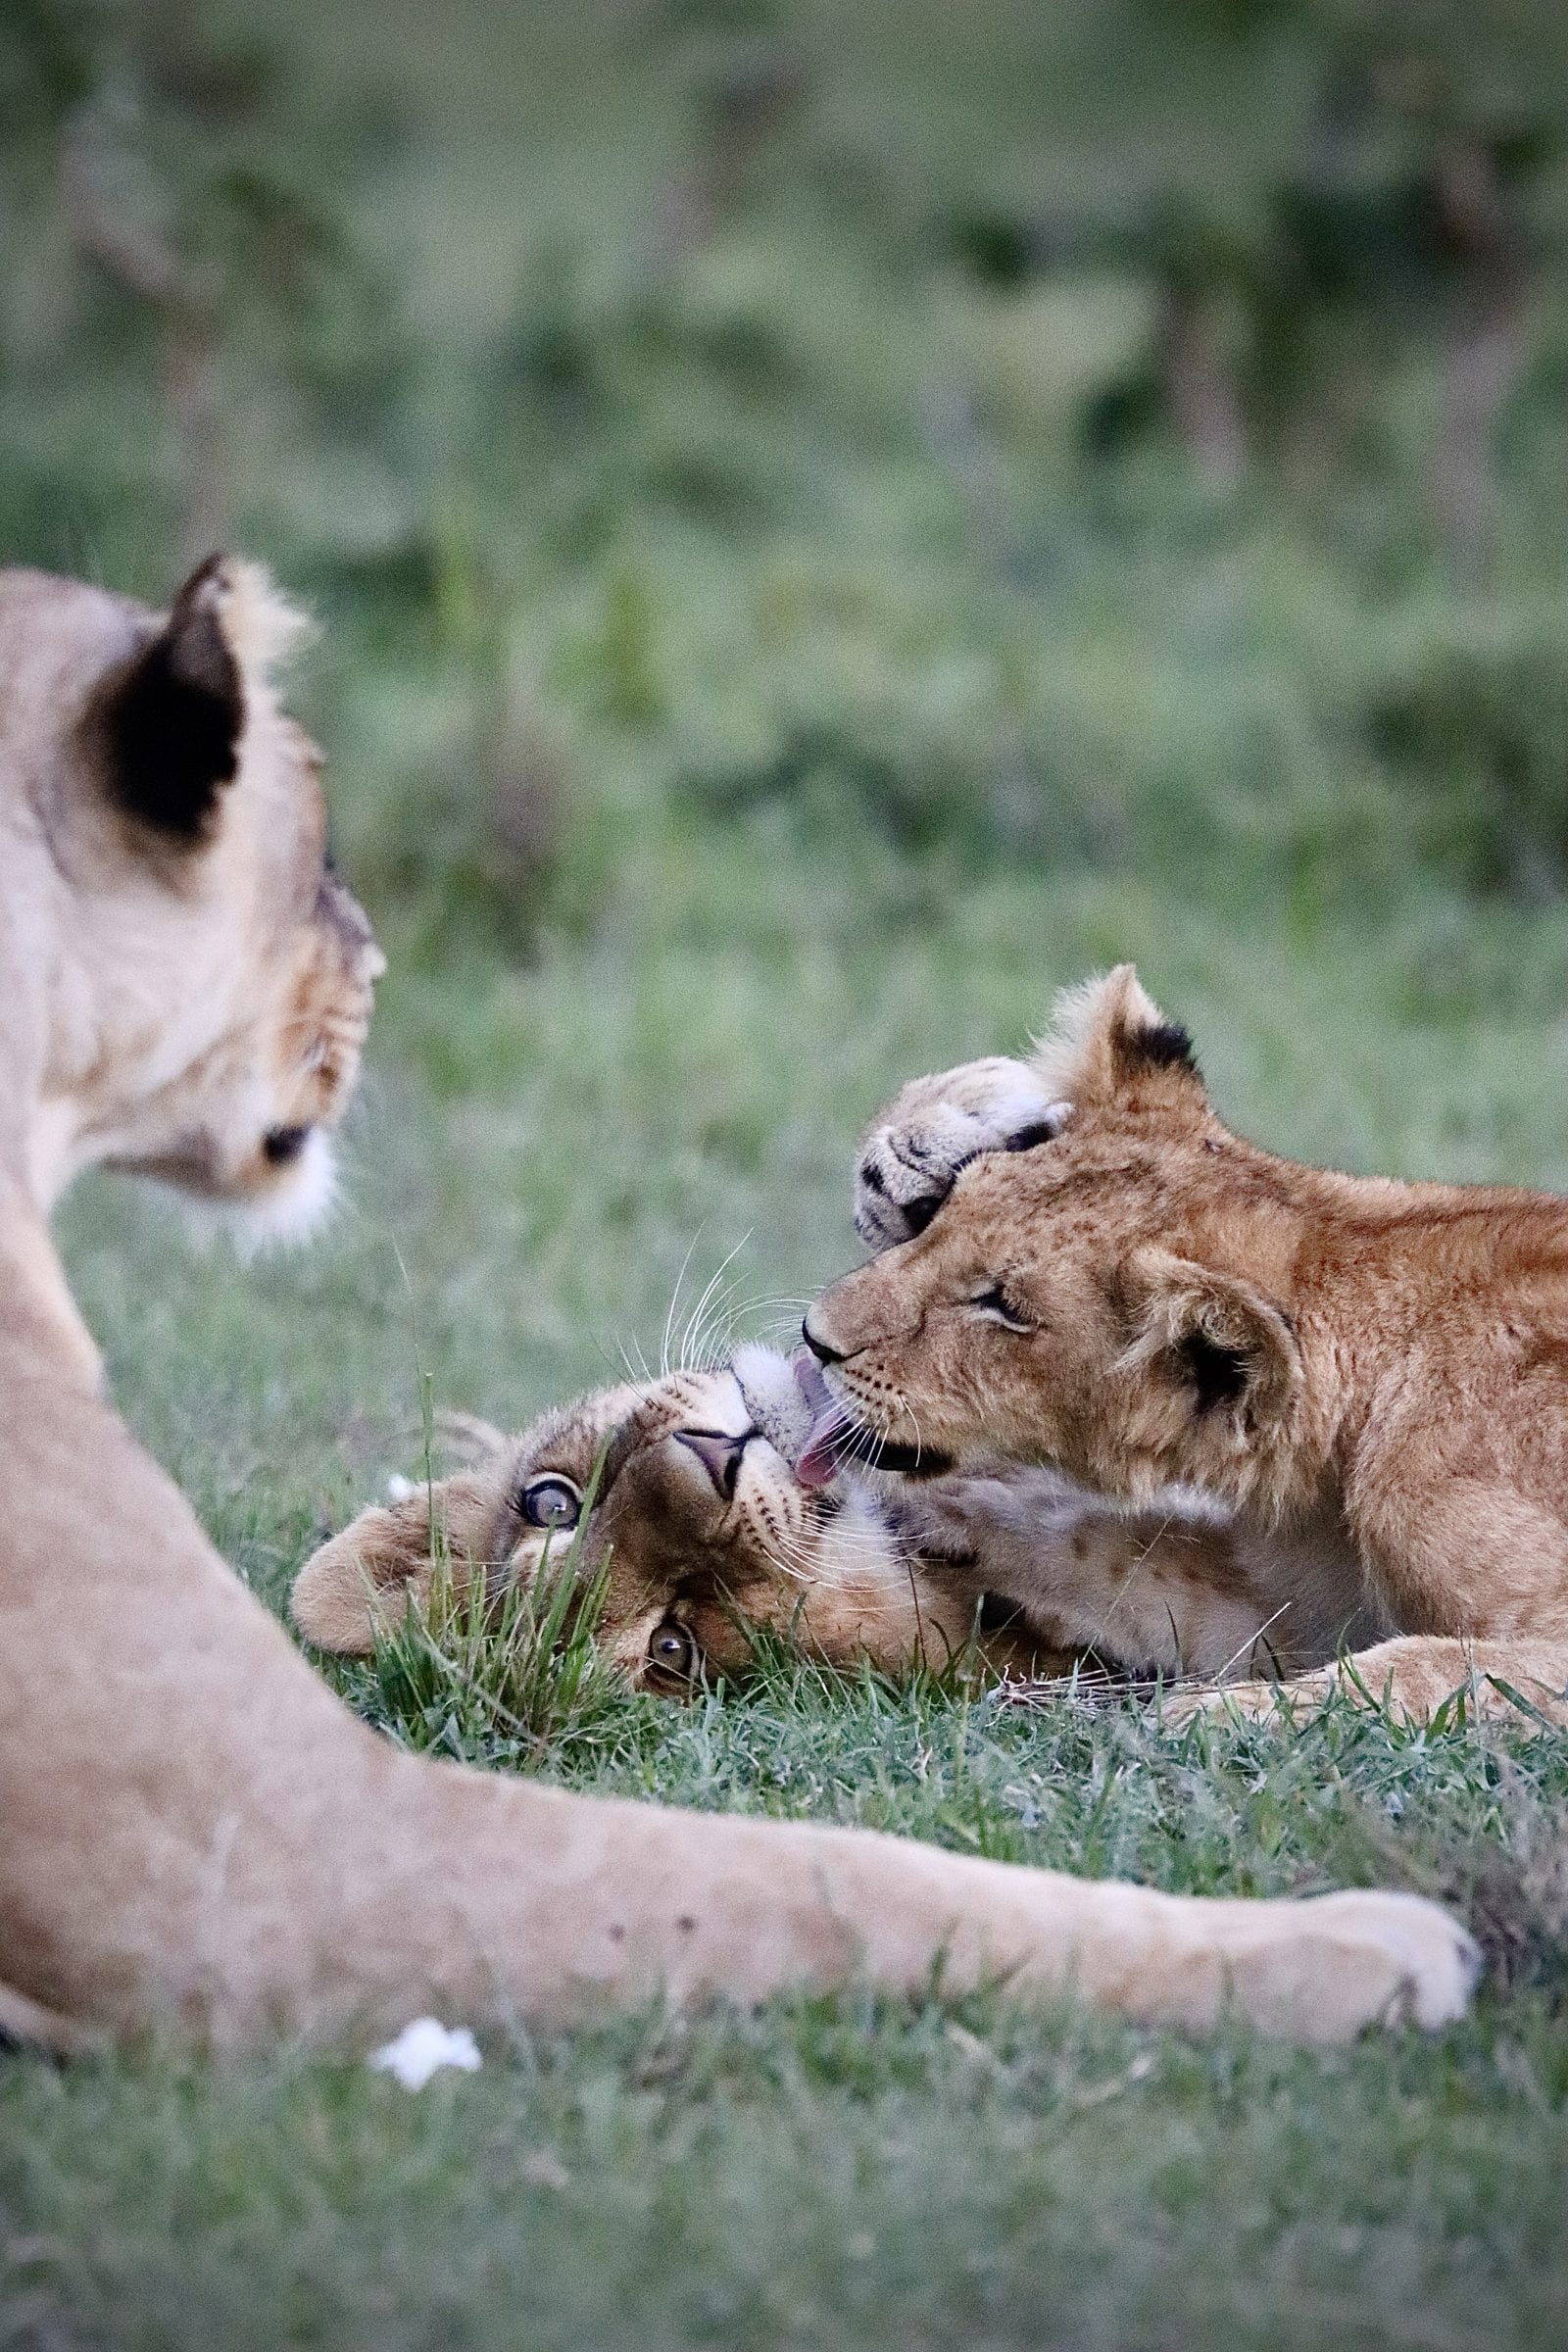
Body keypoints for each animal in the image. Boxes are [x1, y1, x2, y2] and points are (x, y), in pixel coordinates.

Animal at [0, 567, 1475, 2053]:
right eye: (676, 1647)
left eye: (550, 1497)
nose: (710, 1459)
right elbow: (888, 1883)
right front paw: (1372, 1950)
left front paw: (962, 1135)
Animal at [803, 964, 1568, 1730]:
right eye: (950, 1209)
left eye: (1005, 1307)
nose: (815, 1337)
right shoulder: (1308, 1606)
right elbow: (1133, 1554)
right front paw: (950, 1513)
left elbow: (1410, 1672)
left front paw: (1197, 1716)